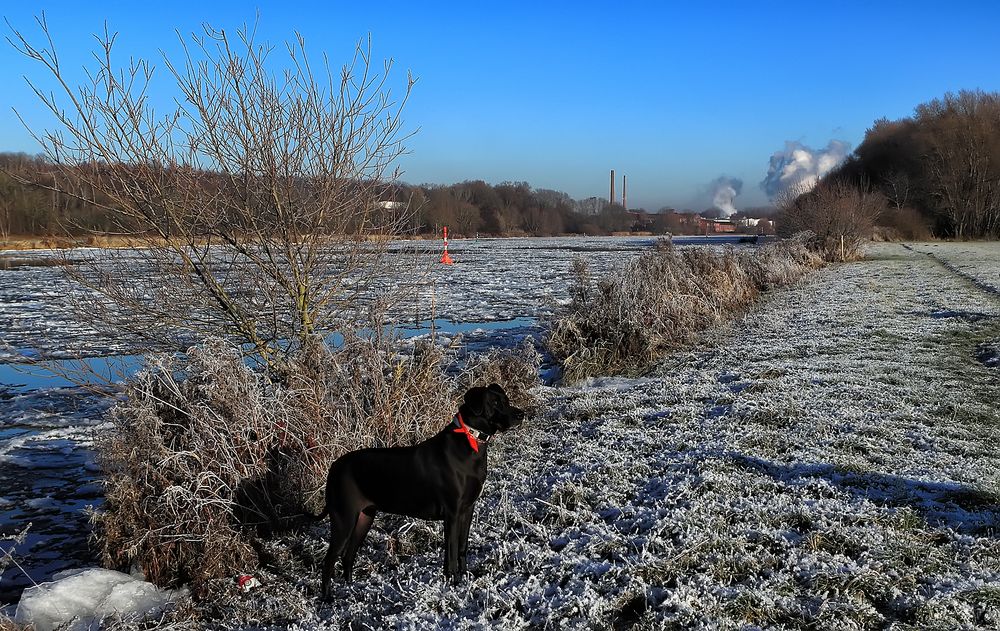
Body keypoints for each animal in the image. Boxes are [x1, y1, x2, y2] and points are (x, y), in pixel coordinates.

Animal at [316, 382, 528, 596]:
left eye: (506, 399)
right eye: (495, 403)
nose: (521, 415)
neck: (471, 440)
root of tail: (333, 467)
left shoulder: (467, 509)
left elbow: (461, 548)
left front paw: (463, 578)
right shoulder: (452, 514)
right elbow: (451, 552)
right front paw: (455, 583)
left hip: (364, 517)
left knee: (348, 555)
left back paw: (350, 588)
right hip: (344, 519)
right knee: (328, 561)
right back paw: (328, 598)